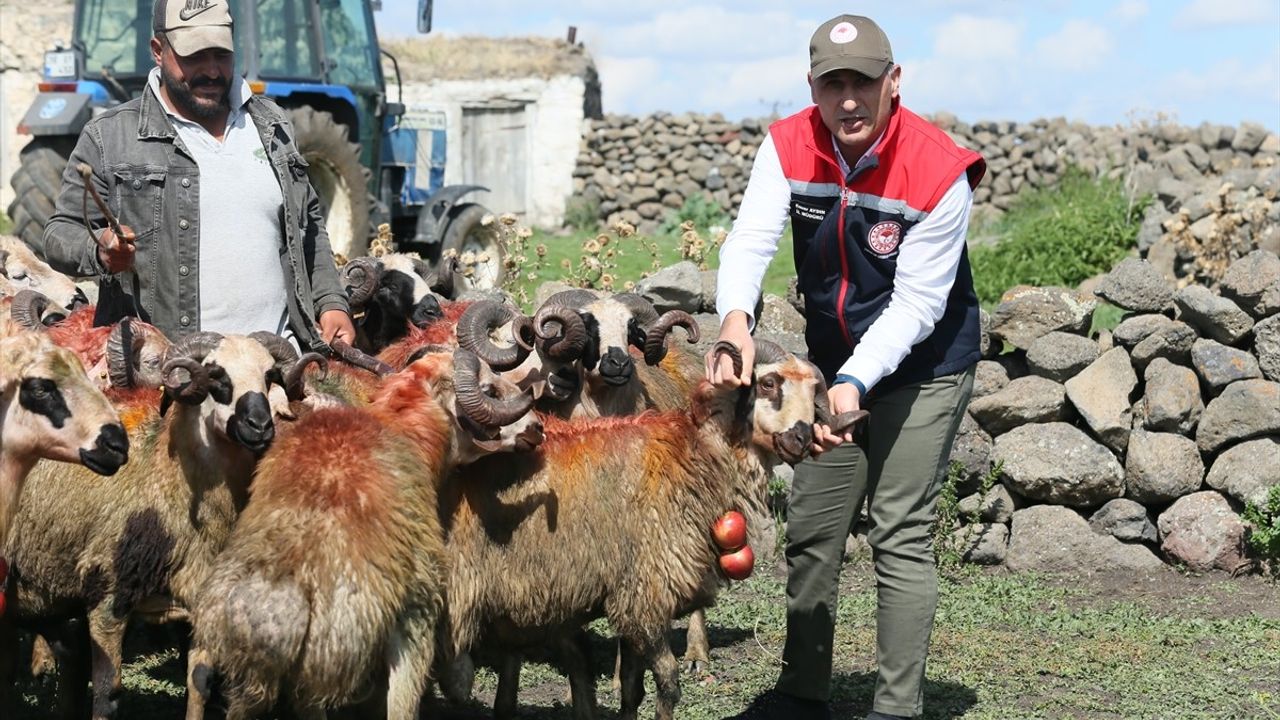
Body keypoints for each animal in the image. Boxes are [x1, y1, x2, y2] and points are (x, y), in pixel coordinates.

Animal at [0, 330, 325, 717]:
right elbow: (107, 693)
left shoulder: (198, 603)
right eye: (216, 377)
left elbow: (200, 683)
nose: (260, 427)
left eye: (270, 376)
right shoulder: (107, 596)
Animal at [186, 345, 540, 712]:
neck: (399, 424)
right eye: (489, 390)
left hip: (249, 679)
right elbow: (401, 706)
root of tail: (281, 605)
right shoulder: (416, 616)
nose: (537, 428)